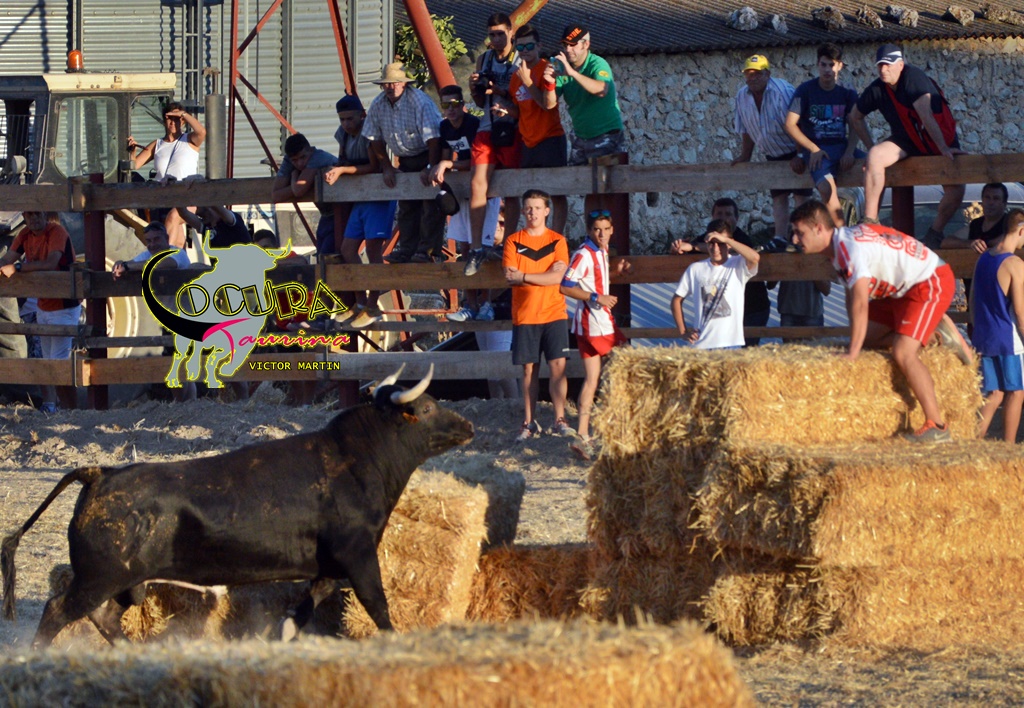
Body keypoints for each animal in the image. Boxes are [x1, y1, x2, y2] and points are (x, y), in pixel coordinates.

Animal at [1, 364, 473, 648]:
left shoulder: (329, 565)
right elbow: (378, 604)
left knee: (103, 617)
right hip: (99, 577)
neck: (355, 459)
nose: (467, 425)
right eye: (426, 406)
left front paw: (283, 632)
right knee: (58, 610)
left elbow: (308, 602)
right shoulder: (358, 555)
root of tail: (99, 473)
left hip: (122, 582)